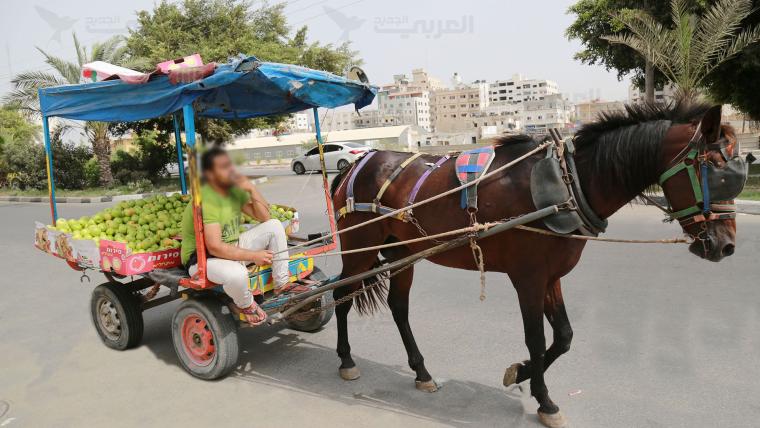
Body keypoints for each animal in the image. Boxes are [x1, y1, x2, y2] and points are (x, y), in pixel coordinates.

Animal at [328, 102, 744, 426]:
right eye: (713, 171)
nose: (725, 246)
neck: (567, 184)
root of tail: (353, 165)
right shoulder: (527, 278)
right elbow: (537, 338)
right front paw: (545, 400)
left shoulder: (551, 277)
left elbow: (564, 336)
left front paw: (521, 372)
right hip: (359, 250)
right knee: (340, 296)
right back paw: (346, 360)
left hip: (401, 252)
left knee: (398, 306)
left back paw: (421, 370)